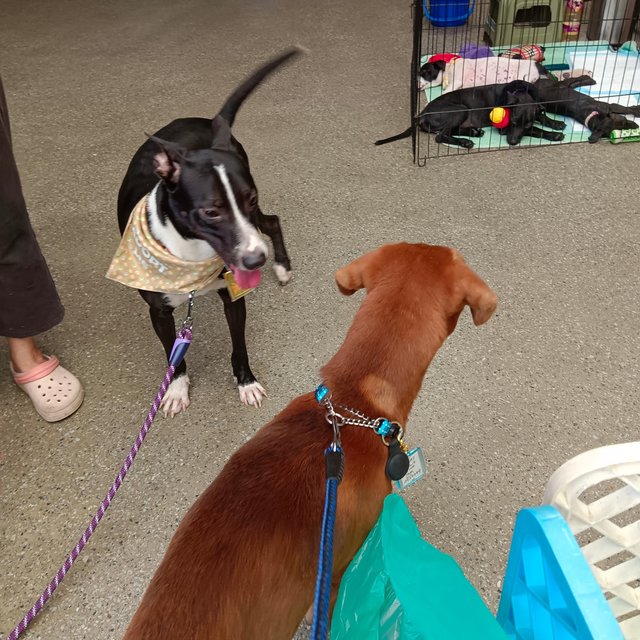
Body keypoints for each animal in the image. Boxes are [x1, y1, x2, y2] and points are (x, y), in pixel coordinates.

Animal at [113, 51, 302, 420]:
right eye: (211, 212)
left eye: (250, 198)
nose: (256, 260)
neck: (190, 257)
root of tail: (211, 123)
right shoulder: (158, 312)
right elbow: (173, 356)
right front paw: (175, 389)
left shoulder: (234, 297)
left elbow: (239, 346)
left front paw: (246, 382)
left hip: (257, 223)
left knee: (272, 221)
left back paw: (283, 267)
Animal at [378, 79, 564, 149]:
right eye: (512, 121)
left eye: (525, 124)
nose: (511, 142)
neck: (518, 93)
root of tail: (421, 115)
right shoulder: (504, 130)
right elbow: (536, 130)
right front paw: (553, 135)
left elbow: (540, 116)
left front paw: (555, 123)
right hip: (460, 109)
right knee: (440, 136)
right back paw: (465, 142)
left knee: (448, 131)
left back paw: (472, 133)